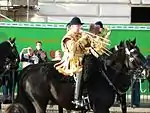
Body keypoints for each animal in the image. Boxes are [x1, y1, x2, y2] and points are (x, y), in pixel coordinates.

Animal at [5, 39, 146, 113]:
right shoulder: (101, 108)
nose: (146, 69)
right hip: (39, 103)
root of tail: (29, 68)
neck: (106, 74)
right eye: (135, 54)